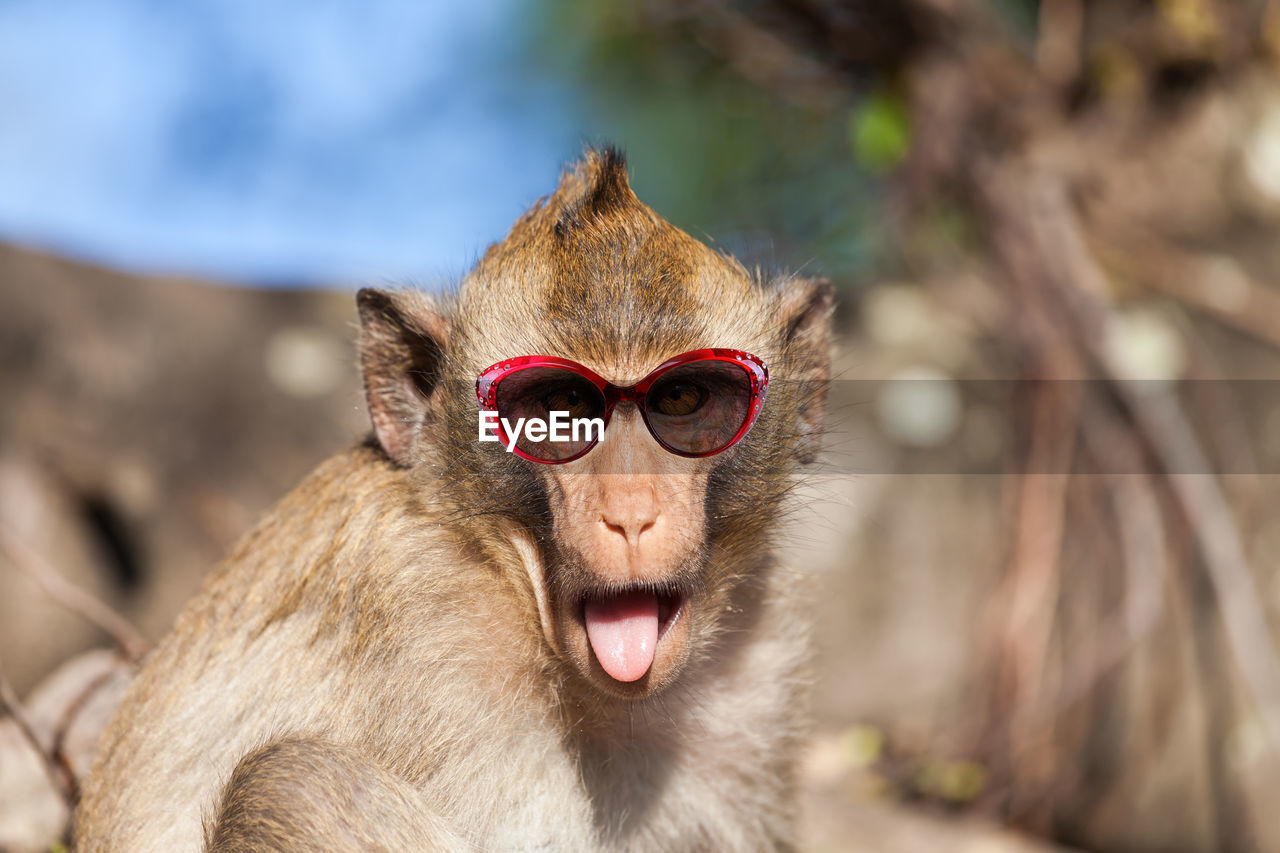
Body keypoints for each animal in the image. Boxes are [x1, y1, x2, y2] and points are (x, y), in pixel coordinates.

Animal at [74, 149, 834, 845]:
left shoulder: (754, 675)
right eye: (559, 409)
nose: (630, 515)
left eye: (681, 399)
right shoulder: (432, 633)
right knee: (296, 782)